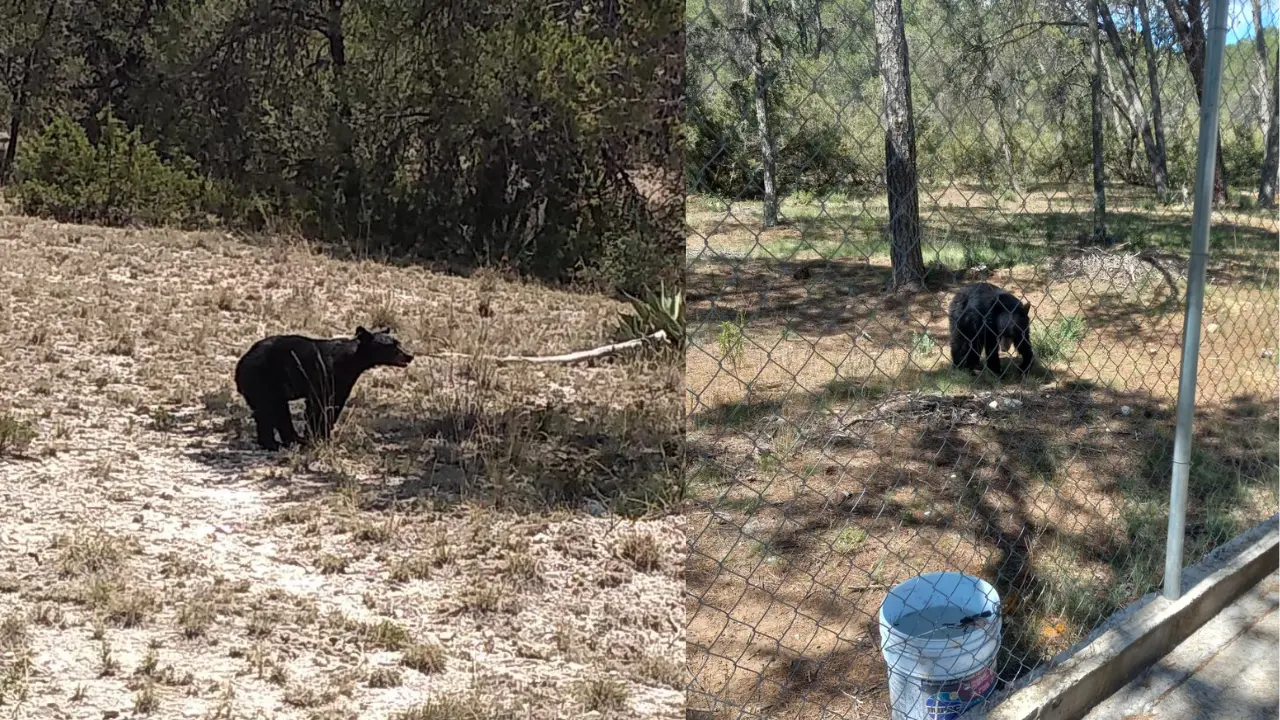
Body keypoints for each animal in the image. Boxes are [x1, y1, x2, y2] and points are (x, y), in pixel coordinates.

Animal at [229, 325, 409, 448]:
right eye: (392, 347)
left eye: (398, 343)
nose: (409, 355)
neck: (352, 361)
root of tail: (240, 365)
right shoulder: (324, 375)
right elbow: (318, 407)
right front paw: (317, 437)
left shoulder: (342, 383)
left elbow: (334, 406)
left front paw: (323, 436)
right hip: (263, 381)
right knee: (271, 411)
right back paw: (278, 443)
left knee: (272, 413)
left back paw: (290, 440)